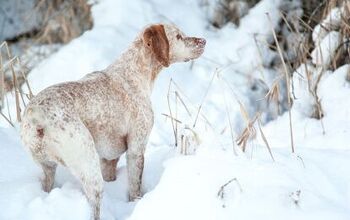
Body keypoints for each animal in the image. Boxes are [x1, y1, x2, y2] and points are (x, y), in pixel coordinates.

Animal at [19, 24, 205, 220]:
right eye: (178, 36)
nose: (203, 41)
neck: (134, 72)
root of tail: (36, 116)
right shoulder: (136, 149)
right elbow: (135, 188)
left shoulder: (108, 158)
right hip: (89, 168)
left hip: (48, 169)